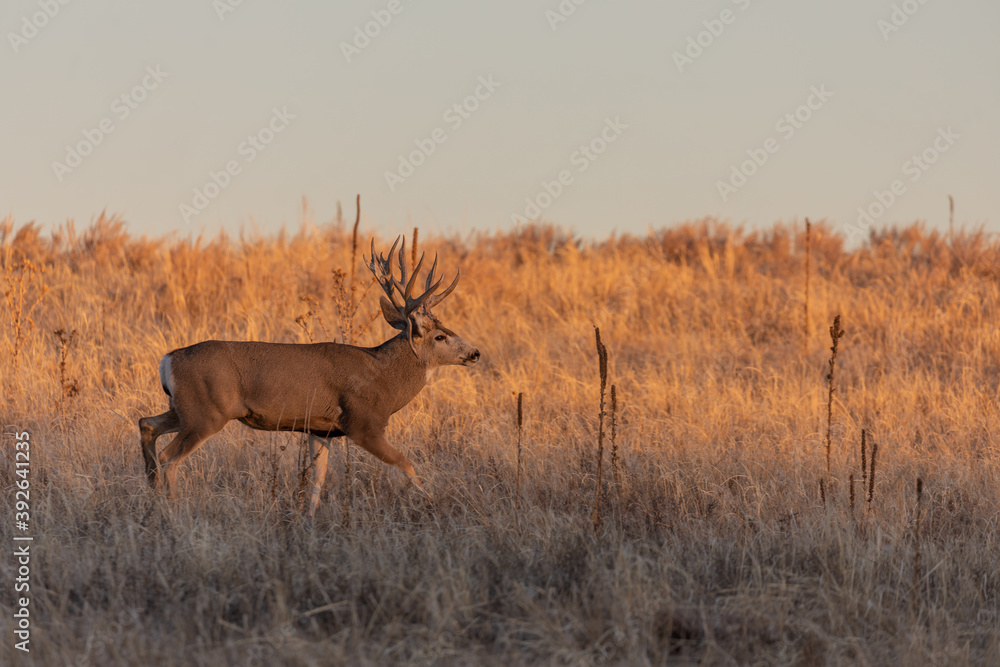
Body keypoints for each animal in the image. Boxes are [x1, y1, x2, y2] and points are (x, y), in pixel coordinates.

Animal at [138, 235, 480, 516]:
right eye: (440, 336)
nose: (475, 353)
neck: (384, 376)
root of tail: (168, 359)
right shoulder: (363, 423)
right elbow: (406, 464)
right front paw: (435, 504)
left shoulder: (320, 430)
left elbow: (317, 482)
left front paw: (308, 522)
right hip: (206, 413)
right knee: (169, 456)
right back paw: (173, 511)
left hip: (184, 408)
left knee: (147, 425)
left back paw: (152, 494)